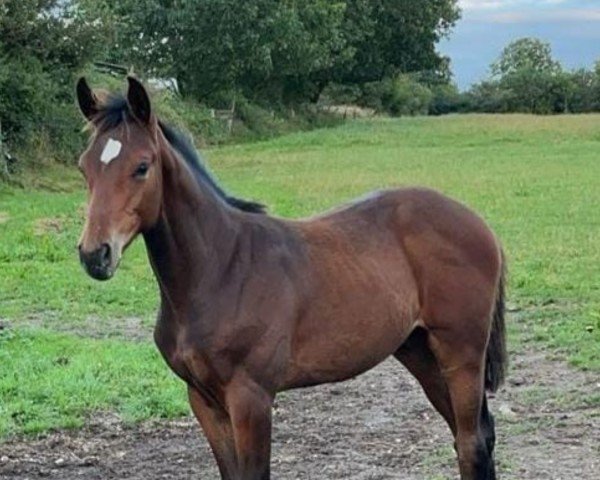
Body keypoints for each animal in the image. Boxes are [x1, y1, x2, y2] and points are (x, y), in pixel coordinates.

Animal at [75, 77, 506, 478]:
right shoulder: (203, 399)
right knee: (474, 436)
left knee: (471, 443)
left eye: (142, 166)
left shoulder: (252, 398)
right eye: (84, 167)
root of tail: (479, 223)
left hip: (462, 352)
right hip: (419, 350)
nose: (95, 255)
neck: (220, 270)